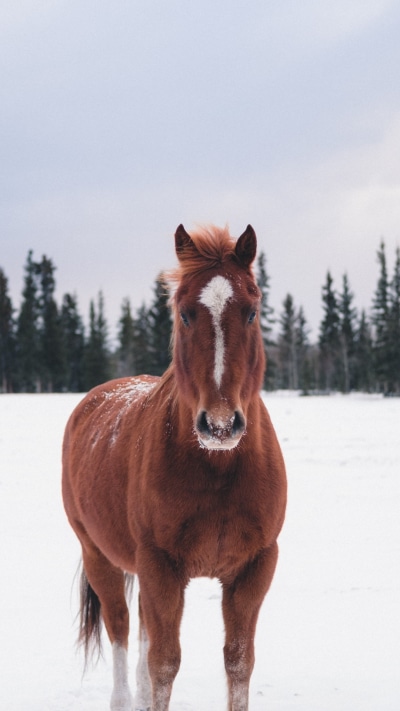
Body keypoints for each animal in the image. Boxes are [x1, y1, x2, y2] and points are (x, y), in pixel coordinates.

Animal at [62, 224, 287, 711]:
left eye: (252, 311)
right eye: (184, 313)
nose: (219, 424)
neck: (218, 468)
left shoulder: (254, 567)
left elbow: (238, 663)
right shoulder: (160, 566)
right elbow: (164, 664)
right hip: (99, 556)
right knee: (122, 631)